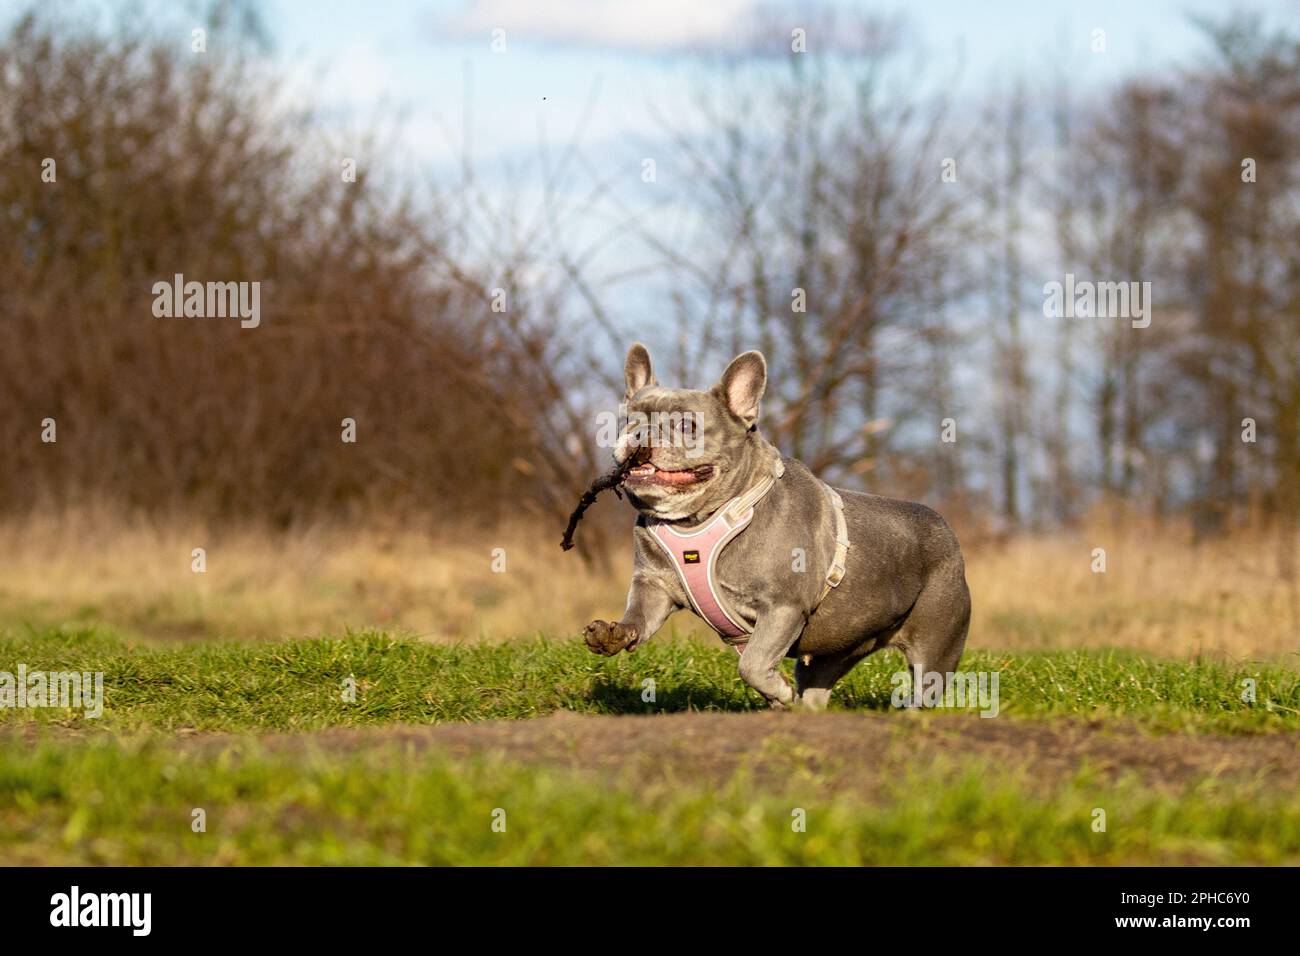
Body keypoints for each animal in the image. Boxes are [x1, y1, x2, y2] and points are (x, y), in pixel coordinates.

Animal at [585, 343, 972, 712]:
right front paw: (613, 633)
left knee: (925, 688)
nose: (639, 432)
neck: (701, 518)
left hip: (935, 649)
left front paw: (778, 692)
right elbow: (638, 617)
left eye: (687, 426)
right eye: (625, 421)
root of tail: (946, 529)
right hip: (832, 654)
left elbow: (753, 663)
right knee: (816, 688)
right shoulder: (653, 587)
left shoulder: (783, 608)